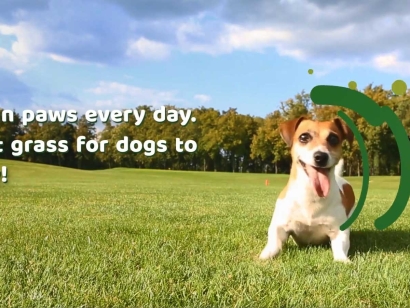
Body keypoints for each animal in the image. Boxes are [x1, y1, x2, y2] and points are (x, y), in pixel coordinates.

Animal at [260, 115, 356, 262]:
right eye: (304, 137)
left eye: (333, 138)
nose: (321, 156)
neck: (311, 195)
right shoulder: (279, 226)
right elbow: (273, 244)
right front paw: (263, 256)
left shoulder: (339, 231)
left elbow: (340, 247)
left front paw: (343, 261)